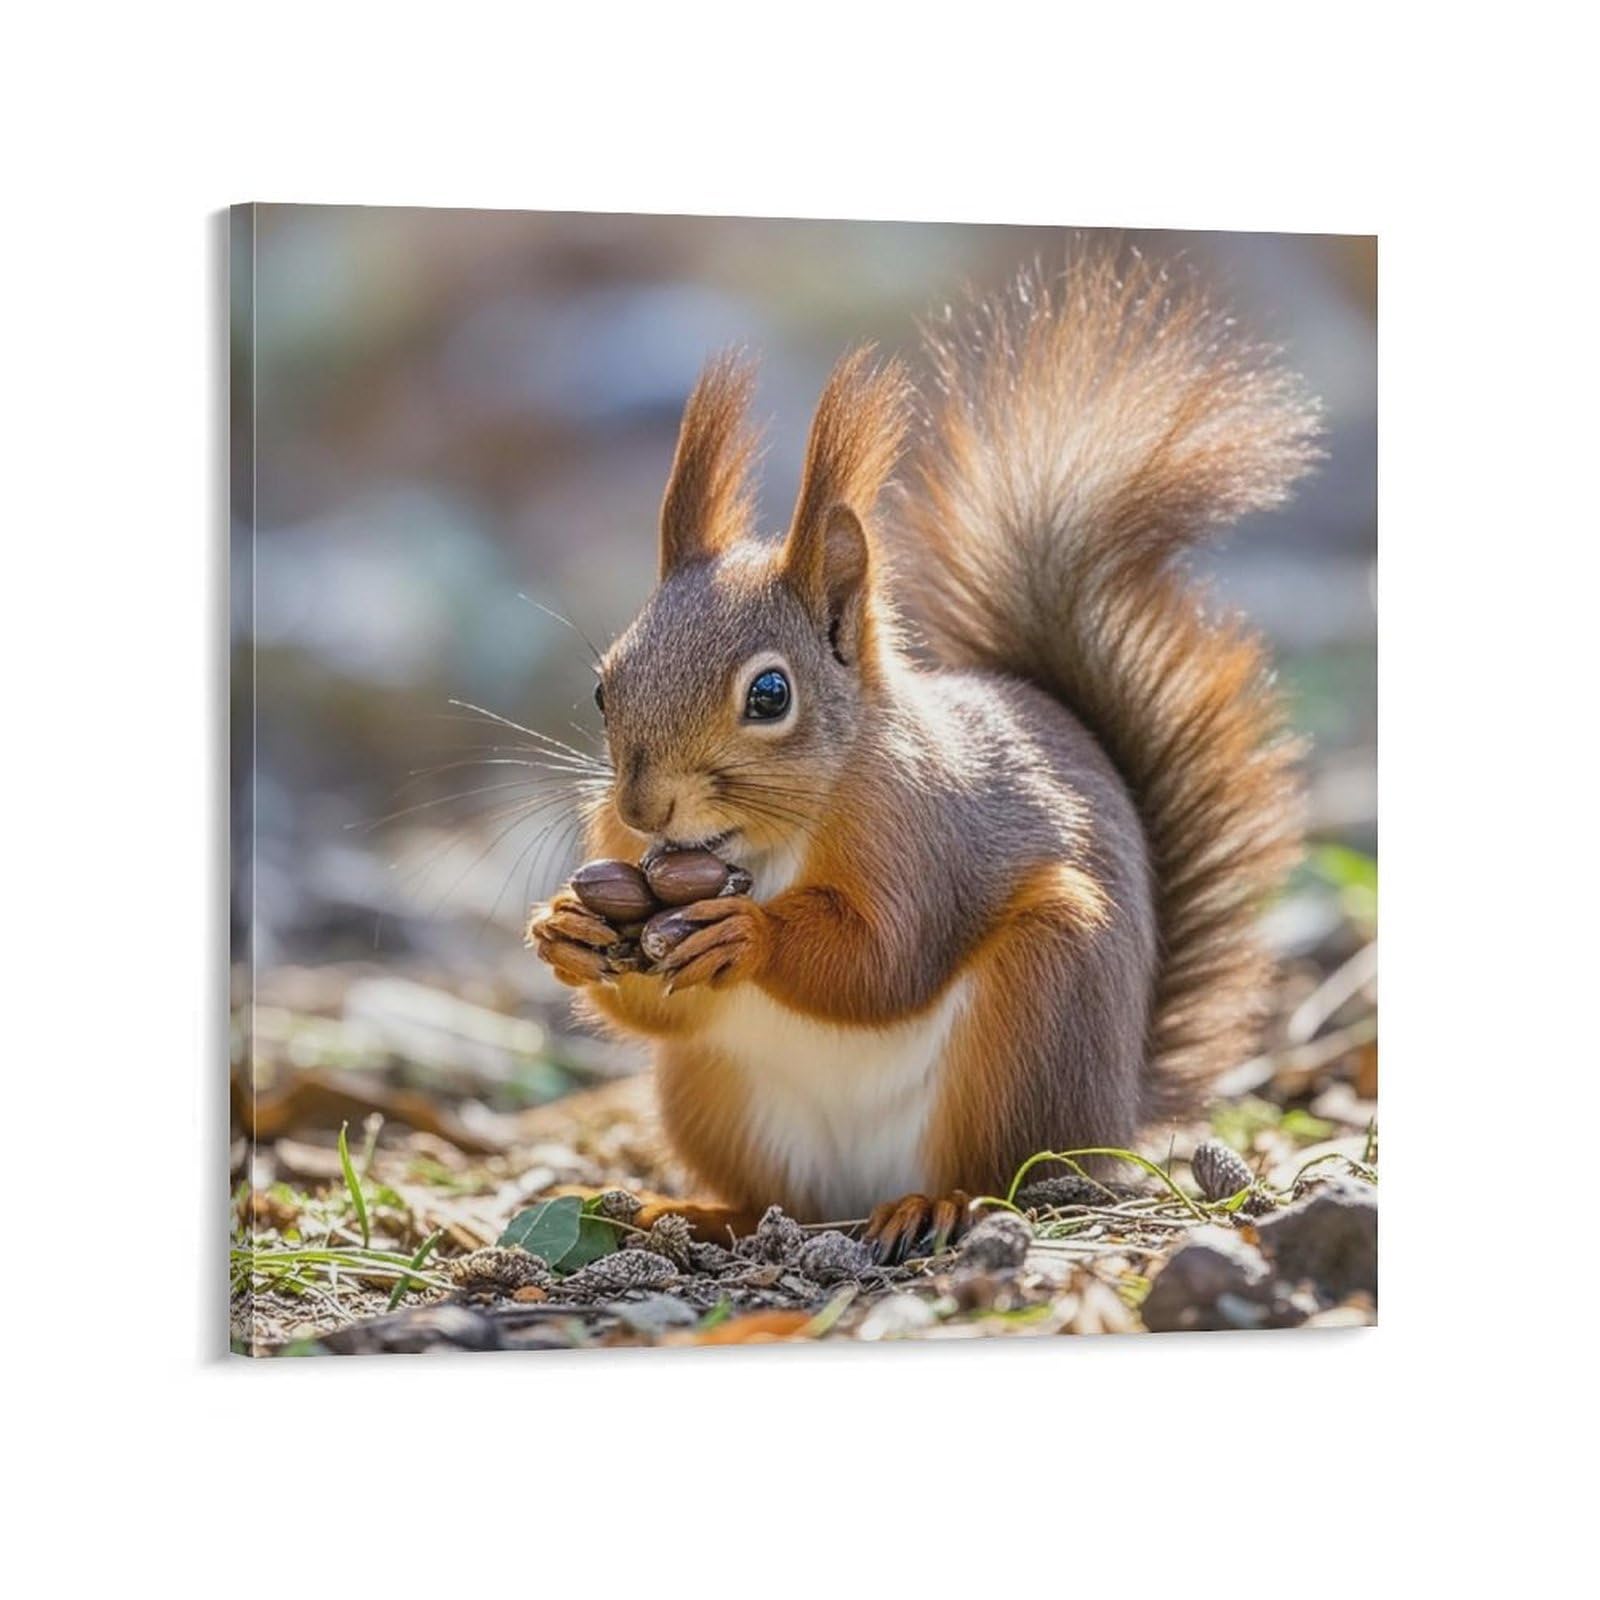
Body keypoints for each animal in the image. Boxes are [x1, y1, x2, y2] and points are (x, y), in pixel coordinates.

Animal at [529, 250, 1322, 1260]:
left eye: (770, 695)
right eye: (605, 685)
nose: (641, 811)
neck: (764, 846)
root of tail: (1113, 1115)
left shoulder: (925, 835)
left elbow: (888, 960)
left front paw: (749, 934)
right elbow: (662, 1003)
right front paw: (563, 926)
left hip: (1035, 1017)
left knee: (1003, 1174)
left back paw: (936, 1205)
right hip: (709, 1091)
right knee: (768, 1189)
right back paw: (699, 1212)